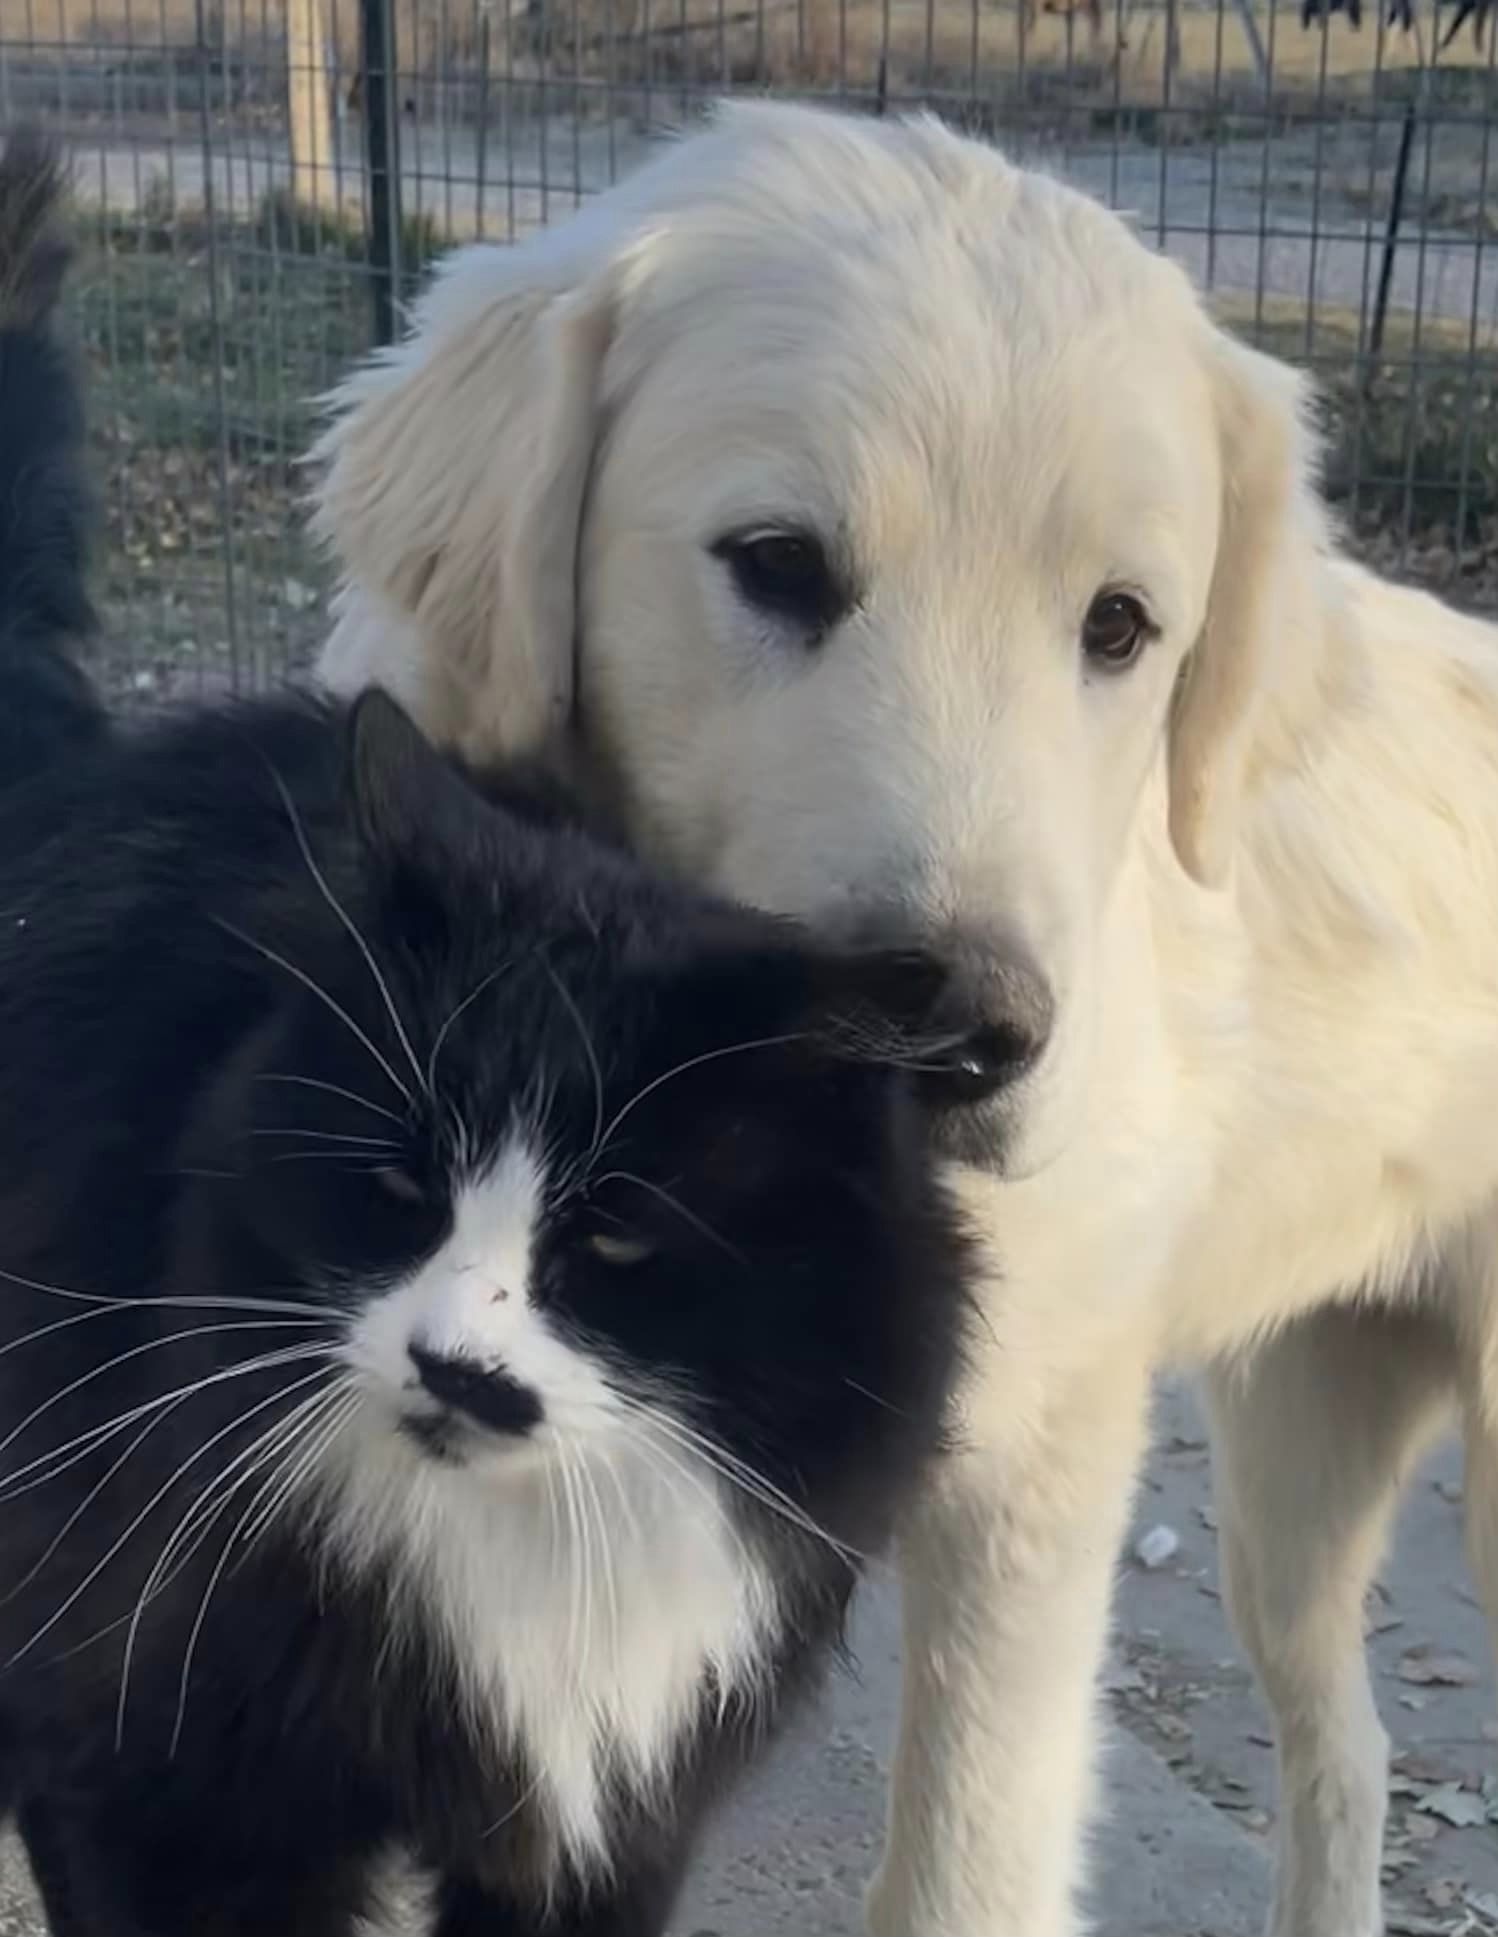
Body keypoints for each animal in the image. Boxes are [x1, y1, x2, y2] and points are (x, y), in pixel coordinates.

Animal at [0, 128, 968, 1929]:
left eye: (627, 1236)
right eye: (395, 1183)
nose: (456, 1366)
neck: (494, 1557)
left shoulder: (604, 1824)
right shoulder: (155, 1768)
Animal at [312, 102, 1496, 1937]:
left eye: (1119, 626)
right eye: (777, 566)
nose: (965, 1036)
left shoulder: (1021, 1492)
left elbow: (960, 1867)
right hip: (1296, 1471)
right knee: (1345, 1744)